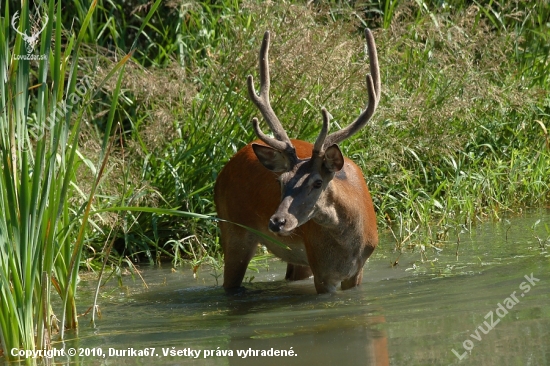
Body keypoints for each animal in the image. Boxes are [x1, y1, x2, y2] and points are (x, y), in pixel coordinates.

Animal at [213, 28, 382, 294]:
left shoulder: (357, 270)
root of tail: (225, 169)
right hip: (233, 230)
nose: (277, 222)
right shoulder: (322, 269)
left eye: (317, 183)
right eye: (281, 181)